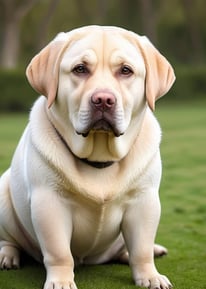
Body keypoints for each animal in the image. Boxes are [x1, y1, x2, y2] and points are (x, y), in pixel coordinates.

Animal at [0, 25, 175, 286]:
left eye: (126, 70)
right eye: (80, 69)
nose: (103, 100)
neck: (99, 157)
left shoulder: (144, 200)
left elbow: (141, 249)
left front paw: (150, 276)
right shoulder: (49, 203)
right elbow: (59, 252)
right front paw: (61, 281)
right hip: (3, 191)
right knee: (9, 240)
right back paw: (8, 256)